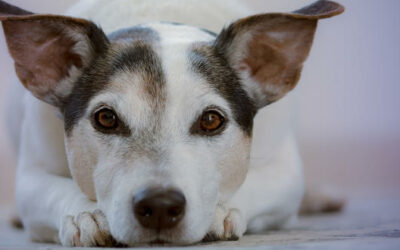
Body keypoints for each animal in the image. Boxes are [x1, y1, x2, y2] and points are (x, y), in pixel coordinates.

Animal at [0, 0, 344, 246]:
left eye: (211, 120)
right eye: (106, 118)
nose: (160, 206)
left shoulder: (286, 172)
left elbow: (255, 183)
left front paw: (220, 211)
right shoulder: (31, 174)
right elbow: (52, 189)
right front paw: (87, 214)